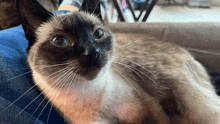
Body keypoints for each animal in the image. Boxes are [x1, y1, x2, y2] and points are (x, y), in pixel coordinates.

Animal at [15, 0, 220, 123]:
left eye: (98, 34)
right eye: (60, 41)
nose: (93, 52)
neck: (90, 97)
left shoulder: (150, 110)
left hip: (192, 100)